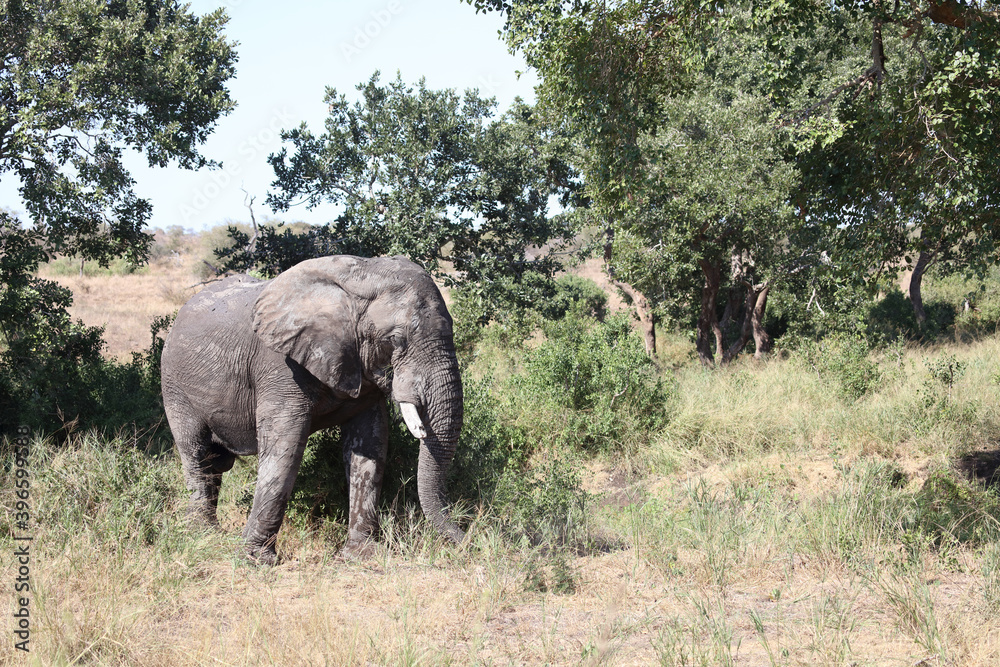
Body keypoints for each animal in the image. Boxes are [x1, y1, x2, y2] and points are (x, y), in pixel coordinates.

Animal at [160, 255, 465, 564]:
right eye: (395, 339)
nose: (468, 539)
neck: (363, 275)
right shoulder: (280, 366)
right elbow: (285, 448)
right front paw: (257, 560)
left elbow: (370, 447)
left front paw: (362, 555)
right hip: (174, 384)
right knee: (197, 454)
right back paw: (203, 535)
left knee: (214, 462)